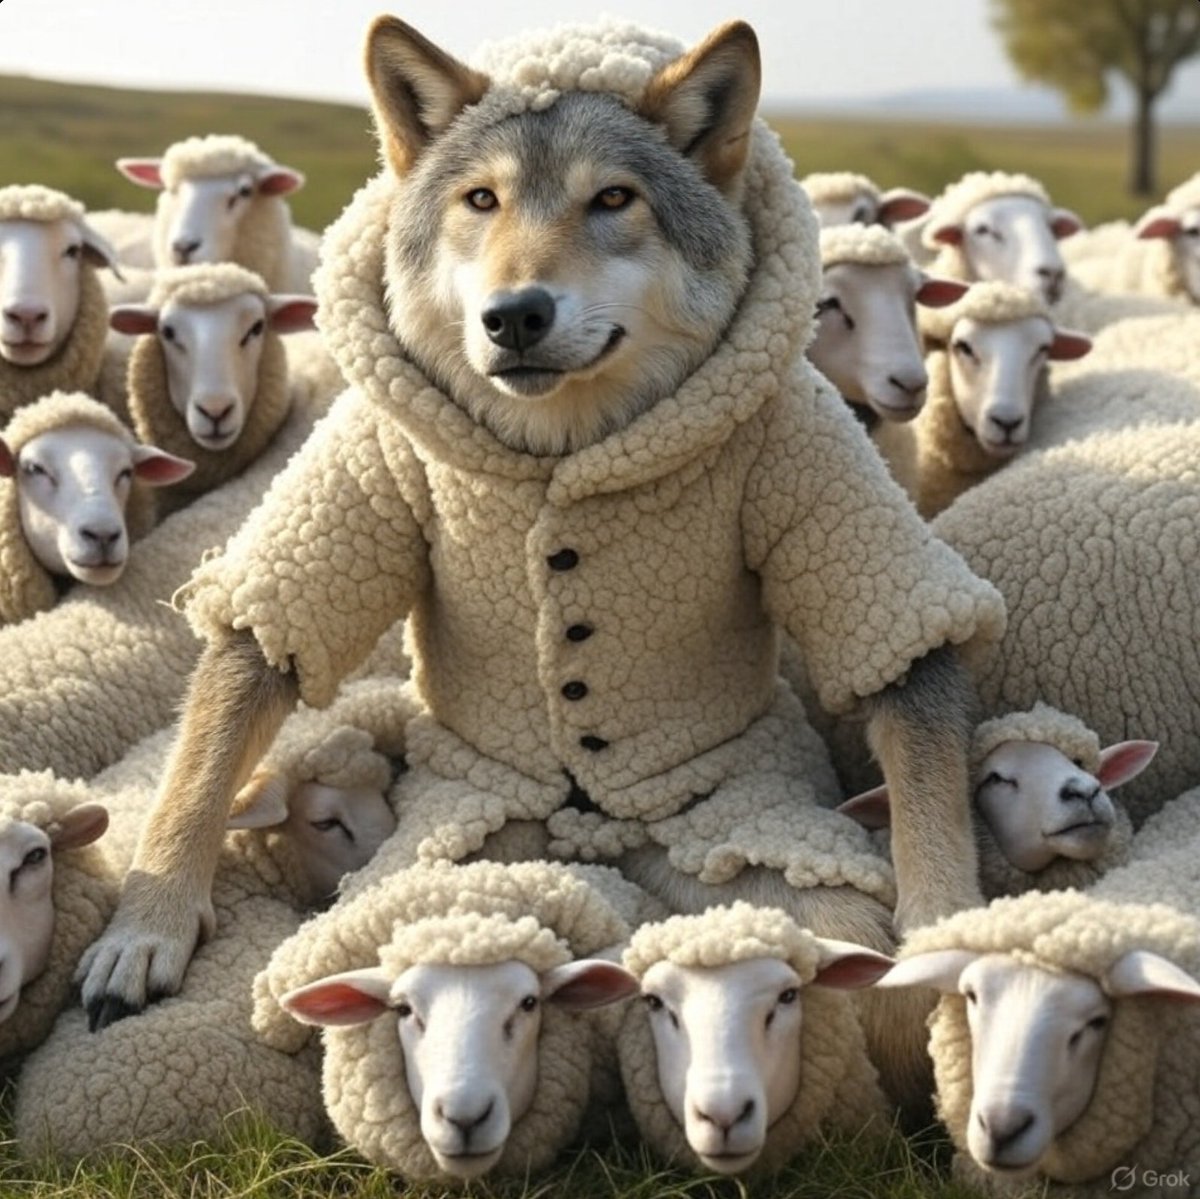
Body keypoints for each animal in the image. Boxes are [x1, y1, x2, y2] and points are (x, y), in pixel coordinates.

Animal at [79, 15, 999, 1083]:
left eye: (615, 199)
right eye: (482, 198)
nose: (515, 314)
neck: (563, 443)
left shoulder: (818, 474)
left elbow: (911, 697)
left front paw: (943, 931)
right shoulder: (353, 487)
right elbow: (221, 726)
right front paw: (147, 926)